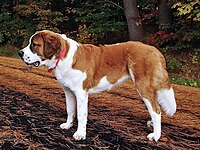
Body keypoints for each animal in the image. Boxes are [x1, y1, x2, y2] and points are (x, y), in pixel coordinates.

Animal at [18, 29, 176, 141]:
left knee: (156, 111)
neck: (63, 55)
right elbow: (70, 110)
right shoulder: (68, 91)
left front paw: (80, 134)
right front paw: (68, 125)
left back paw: (156, 135)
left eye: (34, 45)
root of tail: (155, 50)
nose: (19, 53)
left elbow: (81, 114)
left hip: (143, 86)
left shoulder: (81, 93)